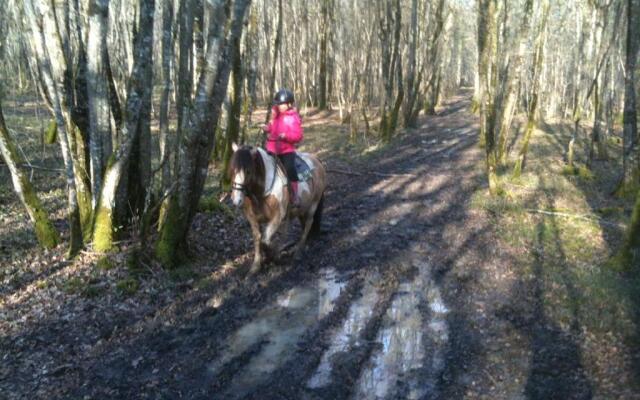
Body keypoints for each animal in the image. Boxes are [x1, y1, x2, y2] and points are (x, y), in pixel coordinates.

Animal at [229, 143, 328, 272]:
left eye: (248, 171)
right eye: (232, 170)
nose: (236, 199)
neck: (262, 190)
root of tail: (317, 160)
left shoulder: (277, 218)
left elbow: (265, 241)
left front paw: (274, 257)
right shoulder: (253, 219)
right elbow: (258, 239)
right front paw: (256, 266)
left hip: (314, 204)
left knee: (308, 223)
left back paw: (298, 250)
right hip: (303, 208)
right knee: (304, 222)